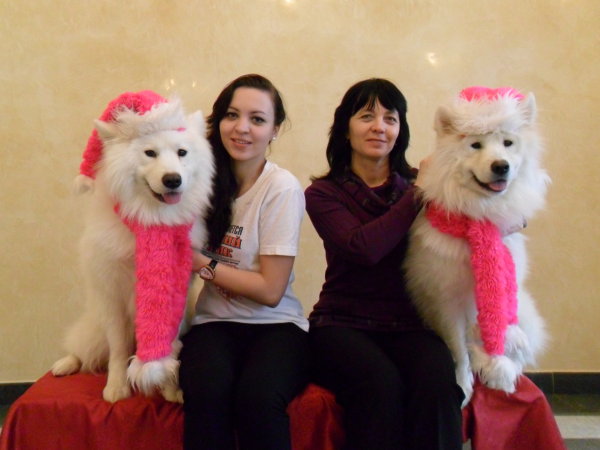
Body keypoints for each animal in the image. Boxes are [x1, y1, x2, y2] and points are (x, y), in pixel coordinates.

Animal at [51, 92, 214, 403]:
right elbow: (117, 350)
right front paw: (116, 388)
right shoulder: (113, 296)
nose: (172, 179)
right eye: (150, 153)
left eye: (182, 153)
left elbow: (168, 348)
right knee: (84, 350)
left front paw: (169, 387)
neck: (151, 218)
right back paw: (64, 364)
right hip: (95, 327)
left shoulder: (177, 296)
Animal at [403, 87, 549, 405]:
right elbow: (458, 349)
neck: (478, 220)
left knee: (518, 343)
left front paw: (496, 370)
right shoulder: (447, 301)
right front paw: (463, 386)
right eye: (476, 145)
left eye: (508, 143)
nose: (501, 166)